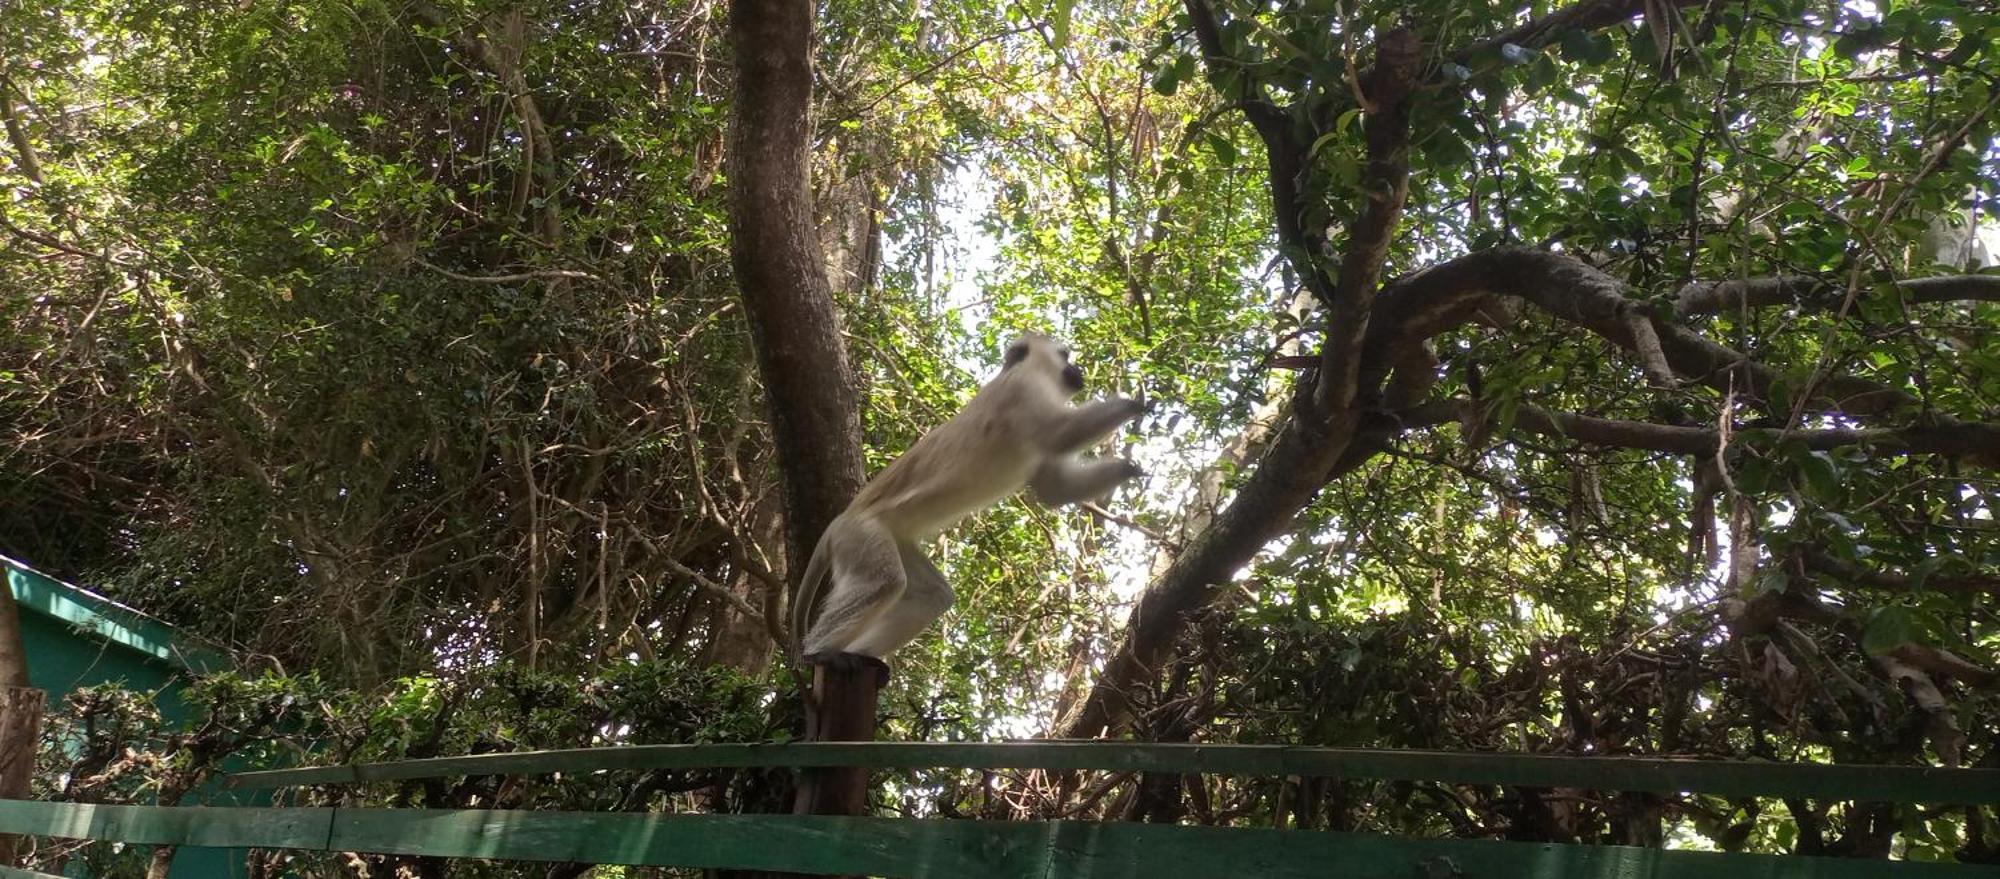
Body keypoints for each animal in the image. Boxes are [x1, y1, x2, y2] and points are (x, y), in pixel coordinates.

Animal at [788, 333, 1152, 675]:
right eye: (1065, 355)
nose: (1076, 370)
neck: (1025, 372)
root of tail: (839, 522)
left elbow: (1055, 490)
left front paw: (1129, 468)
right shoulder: (1022, 391)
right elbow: (1062, 432)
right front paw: (1136, 404)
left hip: (892, 539)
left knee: (932, 595)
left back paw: (859, 653)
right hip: (861, 535)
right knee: (884, 581)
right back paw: (820, 652)